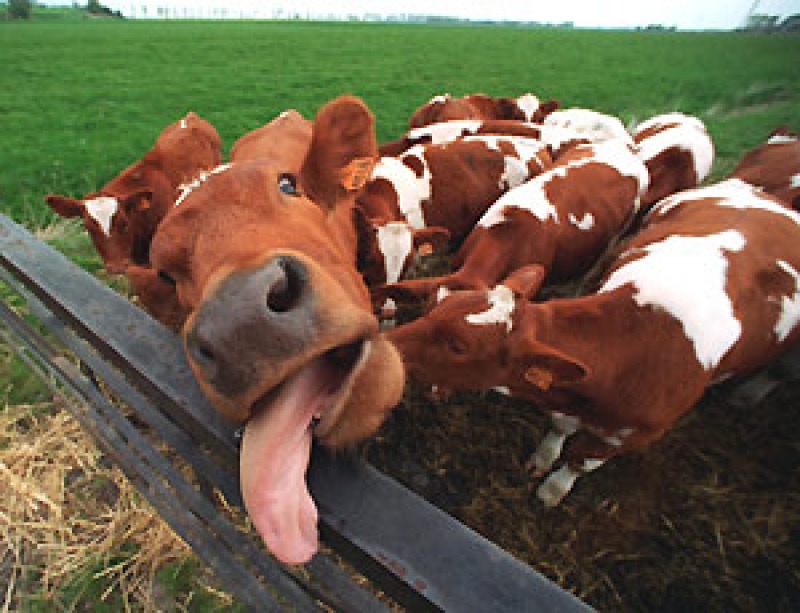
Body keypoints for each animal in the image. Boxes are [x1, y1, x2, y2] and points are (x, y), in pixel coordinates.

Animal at [387, 178, 800, 507]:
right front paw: (544, 457)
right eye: (429, 310)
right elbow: (560, 427)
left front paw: (552, 491)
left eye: (459, 345)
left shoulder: (636, 435)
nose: (387, 343)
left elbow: (581, 459)